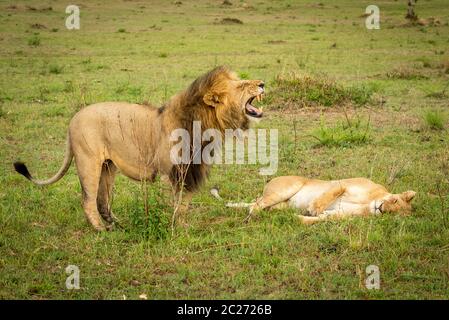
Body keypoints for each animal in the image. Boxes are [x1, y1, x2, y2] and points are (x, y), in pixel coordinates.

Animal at [13, 66, 266, 230]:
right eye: (242, 86)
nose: (262, 84)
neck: (204, 122)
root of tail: (72, 120)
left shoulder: (189, 170)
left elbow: (184, 203)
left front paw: (182, 226)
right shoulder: (168, 171)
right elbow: (172, 202)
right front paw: (170, 226)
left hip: (108, 167)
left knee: (102, 201)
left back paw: (117, 224)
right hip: (88, 162)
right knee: (87, 200)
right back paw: (100, 230)